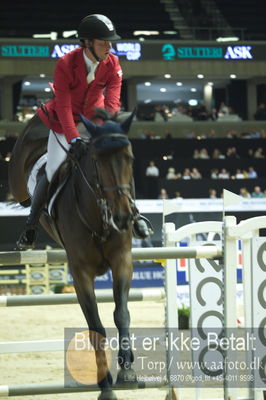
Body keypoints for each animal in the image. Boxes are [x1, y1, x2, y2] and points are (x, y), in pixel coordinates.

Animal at [8, 112, 138, 400]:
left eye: (130, 158)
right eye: (98, 162)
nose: (123, 218)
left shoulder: (122, 261)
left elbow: (122, 313)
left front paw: (127, 370)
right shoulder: (80, 274)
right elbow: (96, 327)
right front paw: (106, 386)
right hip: (19, 180)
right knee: (27, 197)